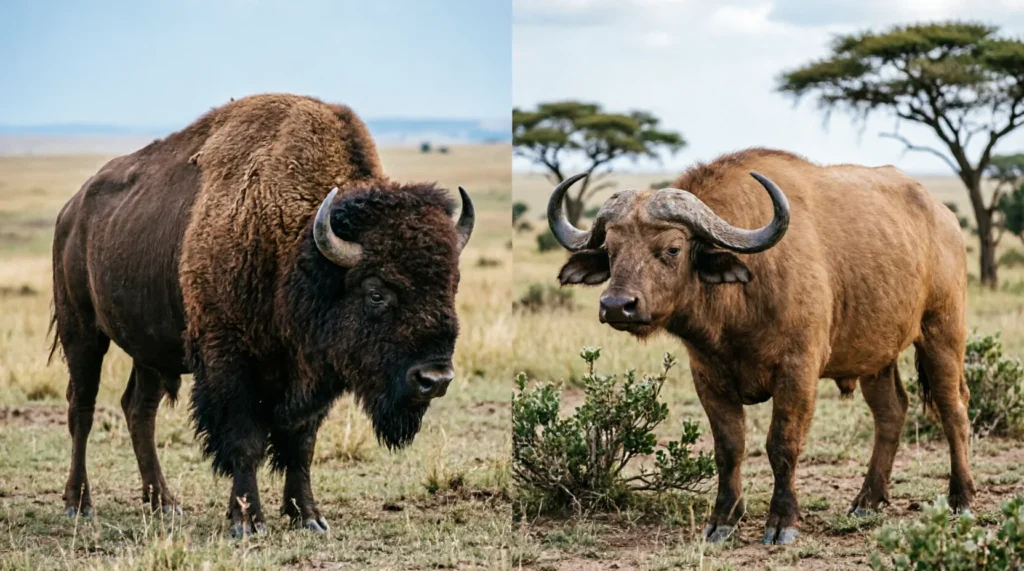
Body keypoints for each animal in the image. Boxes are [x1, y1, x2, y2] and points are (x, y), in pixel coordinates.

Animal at [51, 94, 474, 536]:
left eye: (452, 285)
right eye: (376, 292)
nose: (434, 379)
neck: (298, 248)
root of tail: (70, 212)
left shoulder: (311, 376)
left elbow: (301, 445)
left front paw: (309, 516)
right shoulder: (229, 363)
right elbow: (246, 440)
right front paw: (247, 521)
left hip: (148, 350)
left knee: (139, 410)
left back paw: (164, 503)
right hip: (82, 332)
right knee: (81, 407)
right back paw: (79, 504)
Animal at [547, 148, 972, 545]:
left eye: (672, 248)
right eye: (611, 250)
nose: (617, 305)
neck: (740, 302)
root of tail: (944, 217)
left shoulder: (798, 371)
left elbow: (781, 445)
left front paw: (782, 521)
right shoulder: (708, 376)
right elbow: (728, 447)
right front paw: (724, 519)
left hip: (943, 332)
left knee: (954, 409)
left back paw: (961, 498)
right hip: (876, 358)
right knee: (891, 412)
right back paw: (868, 500)